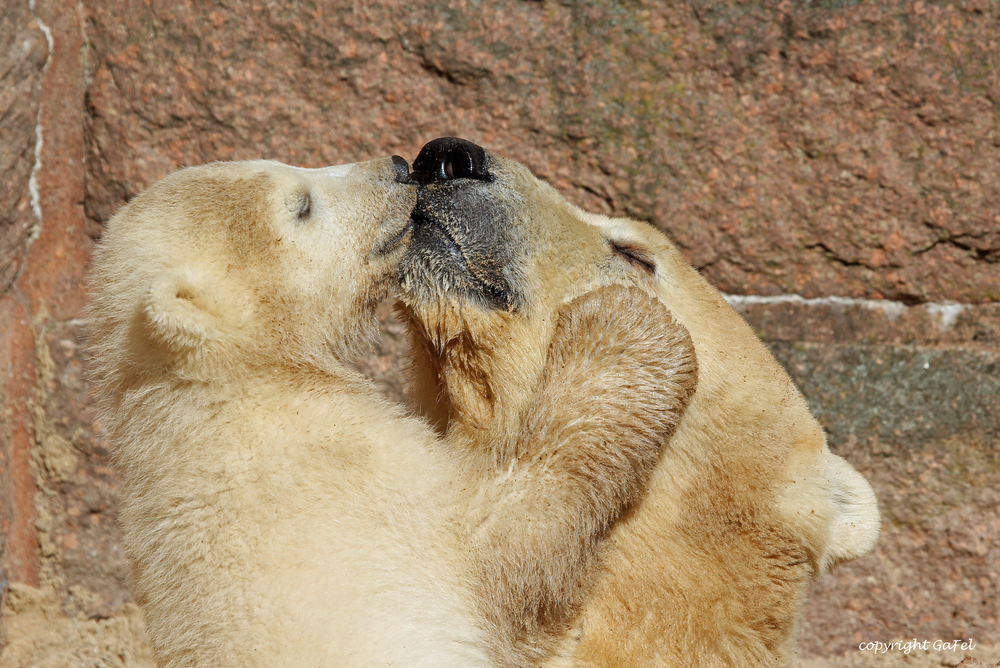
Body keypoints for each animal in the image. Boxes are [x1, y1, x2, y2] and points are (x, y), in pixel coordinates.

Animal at [88, 158, 696, 668]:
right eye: (301, 205)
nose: (401, 167)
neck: (221, 389)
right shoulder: (335, 478)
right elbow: (501, 541)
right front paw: (626, 328)